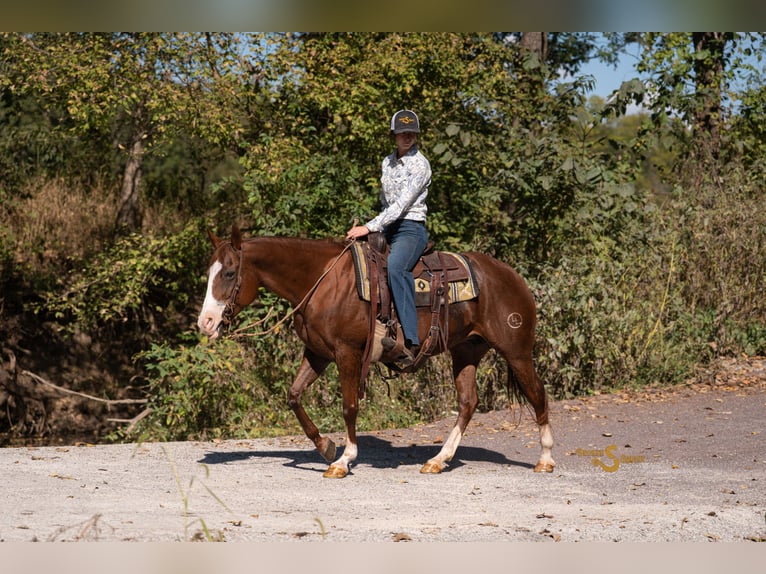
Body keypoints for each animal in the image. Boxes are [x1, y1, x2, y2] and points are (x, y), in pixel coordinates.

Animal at [197, 225, 555, 478]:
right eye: (208, 272)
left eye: (229, 273)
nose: (206, 322)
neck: (323, 281)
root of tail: (511, 276)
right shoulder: (318, 353)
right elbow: (294, 396)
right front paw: (326, 447)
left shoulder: (348, 353)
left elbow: (349, 406)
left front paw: (343, 460)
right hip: (466, 351)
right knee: (468, 402)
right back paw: (438, 460)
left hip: (516, 350)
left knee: (537, 393)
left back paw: (546, 458)